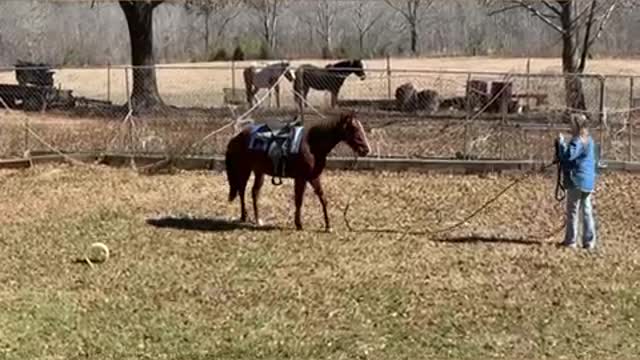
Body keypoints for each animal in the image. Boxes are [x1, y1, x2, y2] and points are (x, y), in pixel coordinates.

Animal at [225, 111, 372, 232]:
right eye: (354, 129)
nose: (366, 150)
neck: (312, 145)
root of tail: (236, 137)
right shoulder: (301, 178)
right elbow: (299, 200)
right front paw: (299, 224)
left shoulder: (313, 177)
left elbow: (323, 199)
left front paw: (328, 226)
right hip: (244, 170)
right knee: (241, 190)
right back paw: (244, 216)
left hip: (259, 172)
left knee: (254, 192)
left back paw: (257, 219)